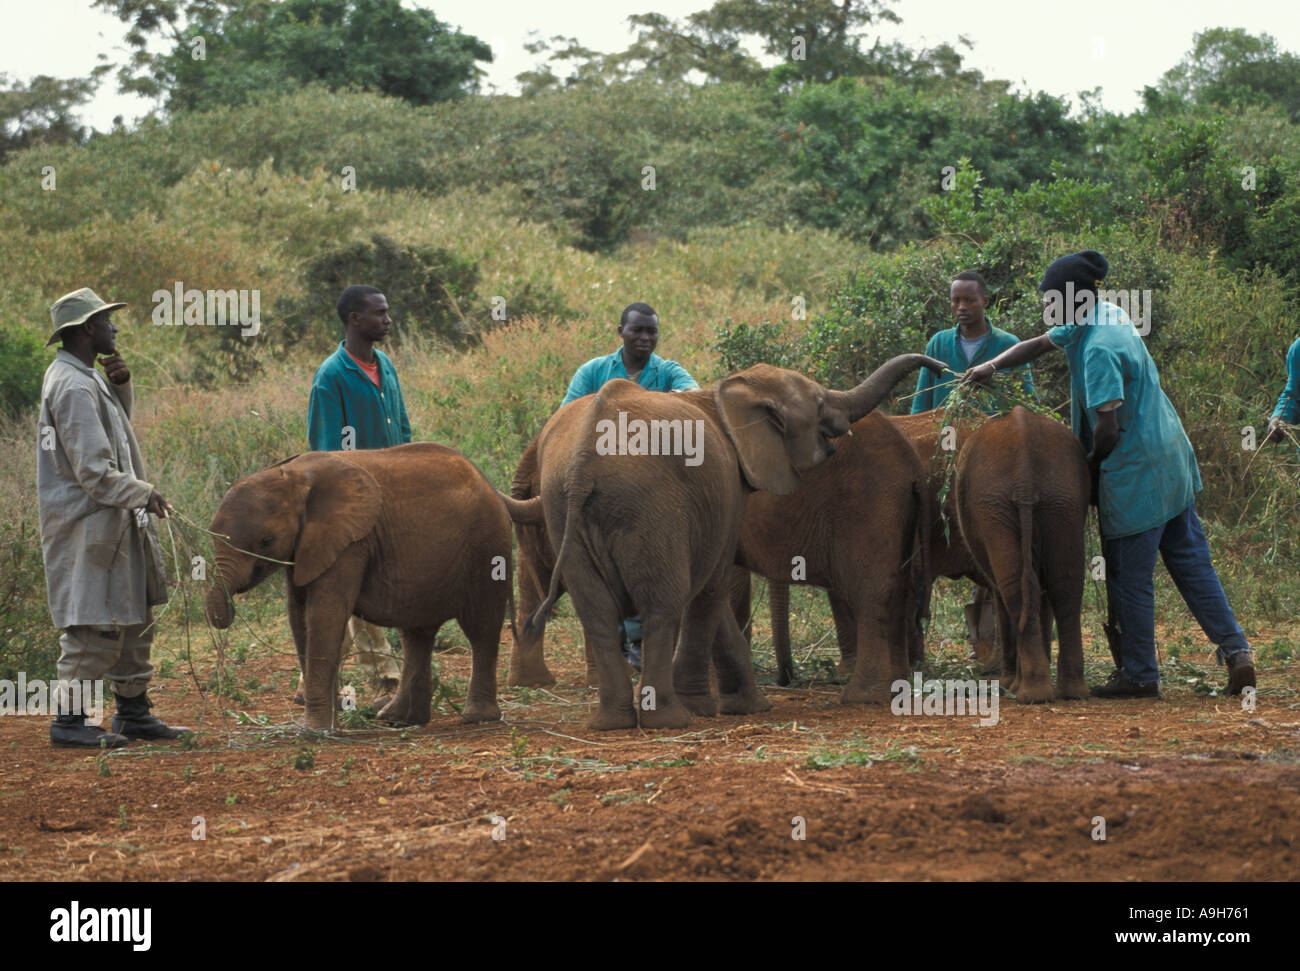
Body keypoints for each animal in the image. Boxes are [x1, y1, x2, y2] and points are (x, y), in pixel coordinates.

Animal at [205, 443, 512, 731]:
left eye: (266, 541)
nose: (228, 611)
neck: (291, 476)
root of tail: (489, 485)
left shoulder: (350, 542)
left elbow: (325, 614)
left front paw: (315, 730)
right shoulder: (305, 546)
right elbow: (298, 615)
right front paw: (326, 725)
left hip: (487, 546)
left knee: (481, 628)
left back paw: (476, 718)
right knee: (417, 634)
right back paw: (398, 719)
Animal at [500, 355, 944, 731]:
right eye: (819, 404)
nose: (938, 367)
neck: (724, 393)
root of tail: (583, 466)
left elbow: (714, 593)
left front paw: (744, 705)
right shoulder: (727, 492)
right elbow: (712, 589)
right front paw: (716, 706)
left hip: (568, 511)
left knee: (600, 610)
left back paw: (612, 723)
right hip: (645, 506)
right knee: (661, 604)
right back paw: (670, 720)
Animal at [952, 406, 1090, 702]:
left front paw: (1007, 683)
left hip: (995, 505)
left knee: (1012, 587)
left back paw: (1028, 693)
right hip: (1063, 497)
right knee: (1065, 585)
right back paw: (1070, 692)